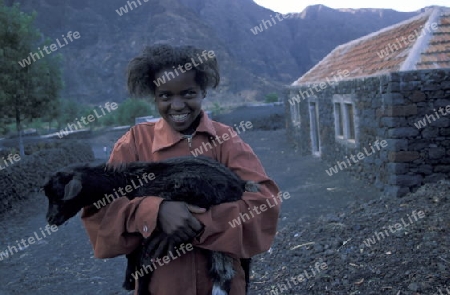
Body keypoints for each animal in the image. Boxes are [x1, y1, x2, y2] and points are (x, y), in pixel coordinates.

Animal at [44, 156, 260, 294]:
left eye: (59, 196)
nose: (50, 219)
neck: (119, 183)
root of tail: (239, 184)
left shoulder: (145, 237)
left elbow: (140, 261)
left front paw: (131, 282)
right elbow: (130, 252)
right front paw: (129, 280)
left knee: (223, 273)